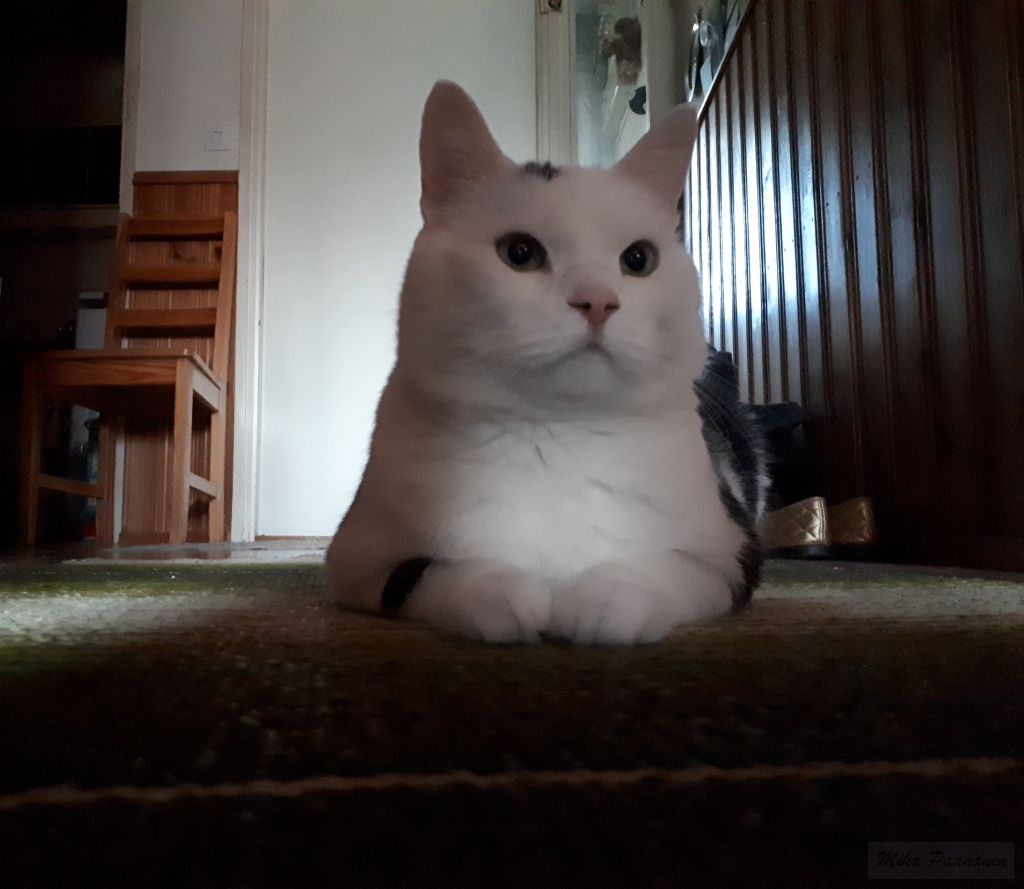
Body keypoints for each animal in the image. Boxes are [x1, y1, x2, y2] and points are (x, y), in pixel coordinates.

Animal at [325, 81, 766, 645]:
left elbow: (667, 568)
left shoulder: (732, 551)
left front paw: (607, 599)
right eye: (520, 252)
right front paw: (501, 593)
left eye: (638, 260)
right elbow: (425, 572)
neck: (559, 435)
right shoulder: (354, 557)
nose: (598, 301)